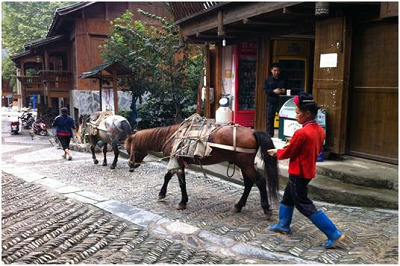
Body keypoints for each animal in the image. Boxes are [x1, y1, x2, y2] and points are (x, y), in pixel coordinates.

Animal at [124, 113, 278, 219]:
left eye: (130, 149)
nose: (130, 165)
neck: (171, 137)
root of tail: (252, 131)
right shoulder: (177, 162)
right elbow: (168, 177)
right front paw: (162, 194)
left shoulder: (176, 161)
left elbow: (180, 182)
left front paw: (182, 202)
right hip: (243, 165)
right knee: (248, 184)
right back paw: (238, 206)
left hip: (245, 165)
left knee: (260, 182)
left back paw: (266, 209)